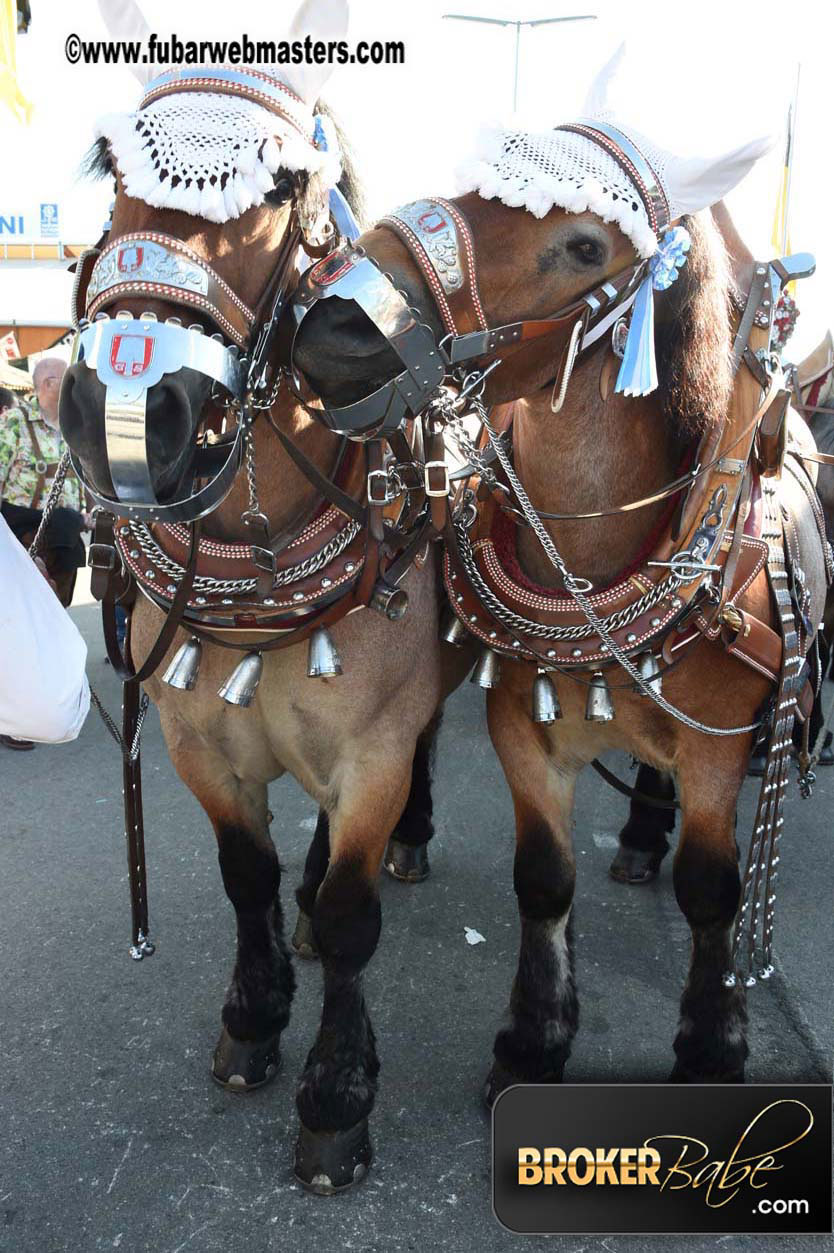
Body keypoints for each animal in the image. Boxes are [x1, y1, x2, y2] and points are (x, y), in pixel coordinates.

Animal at [291, 190, 826, 1102]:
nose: (332, 323)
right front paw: (533, 1039)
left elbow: (711, 889)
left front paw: (712, 1046)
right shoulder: (522, 733)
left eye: (583, 246)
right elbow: (542, 878)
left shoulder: (718, 752)